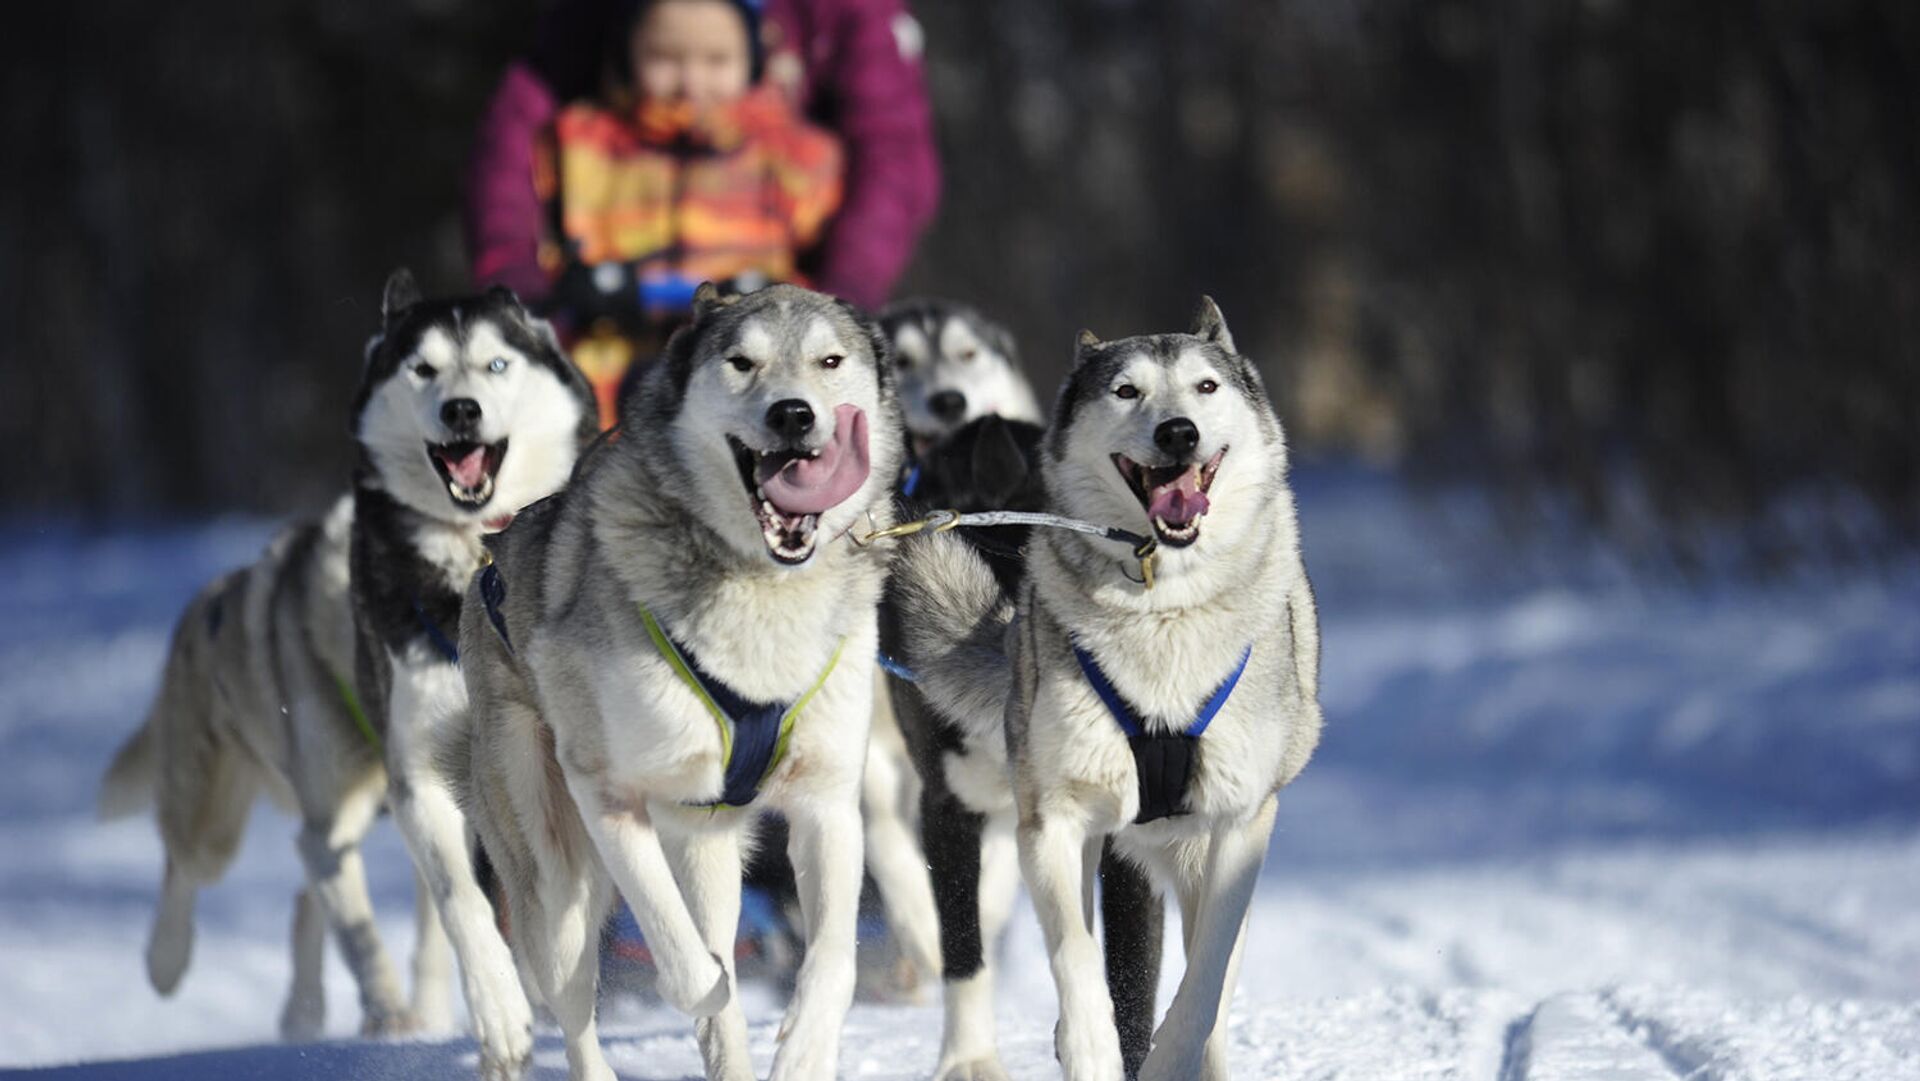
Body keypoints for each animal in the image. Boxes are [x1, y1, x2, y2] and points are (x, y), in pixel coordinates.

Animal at [101, 495, 453, 1036]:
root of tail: (199, 606)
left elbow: (431, 933)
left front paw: (430, 1020)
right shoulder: (332, 822)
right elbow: (363, 939)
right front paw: (394, 1018)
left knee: (305, 901)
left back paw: (303, 1012)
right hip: (215, 825)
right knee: (182, 868)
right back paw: (167, 961)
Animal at [349, 268, 595, 1075]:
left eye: (495, 363)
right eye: (422, 368)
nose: (462, 408)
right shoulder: (420, 772)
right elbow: (462, 900)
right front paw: (498, 1008)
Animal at [453, 286, 902, 1081]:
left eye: (830, 360)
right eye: (741, 361)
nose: (794, 413)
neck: (762, 587)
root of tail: (490, 564)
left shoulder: (826, 803)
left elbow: (833, 960)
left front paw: (805, 1048)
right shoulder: (608, 791)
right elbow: (687, 960)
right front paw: (708, 989)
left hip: (706, 839)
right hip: (554, 873)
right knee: (574, 994)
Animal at [894, 299, 1320, 1081]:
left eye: (1207, 386)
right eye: (1126, 391)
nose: (1178, 430)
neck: (1164, 613)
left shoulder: (1237, 828)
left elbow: (1203, 982)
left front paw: (1168, 1051)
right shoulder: (1054, 819)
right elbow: (1076, 954)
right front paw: (1088, 1044)